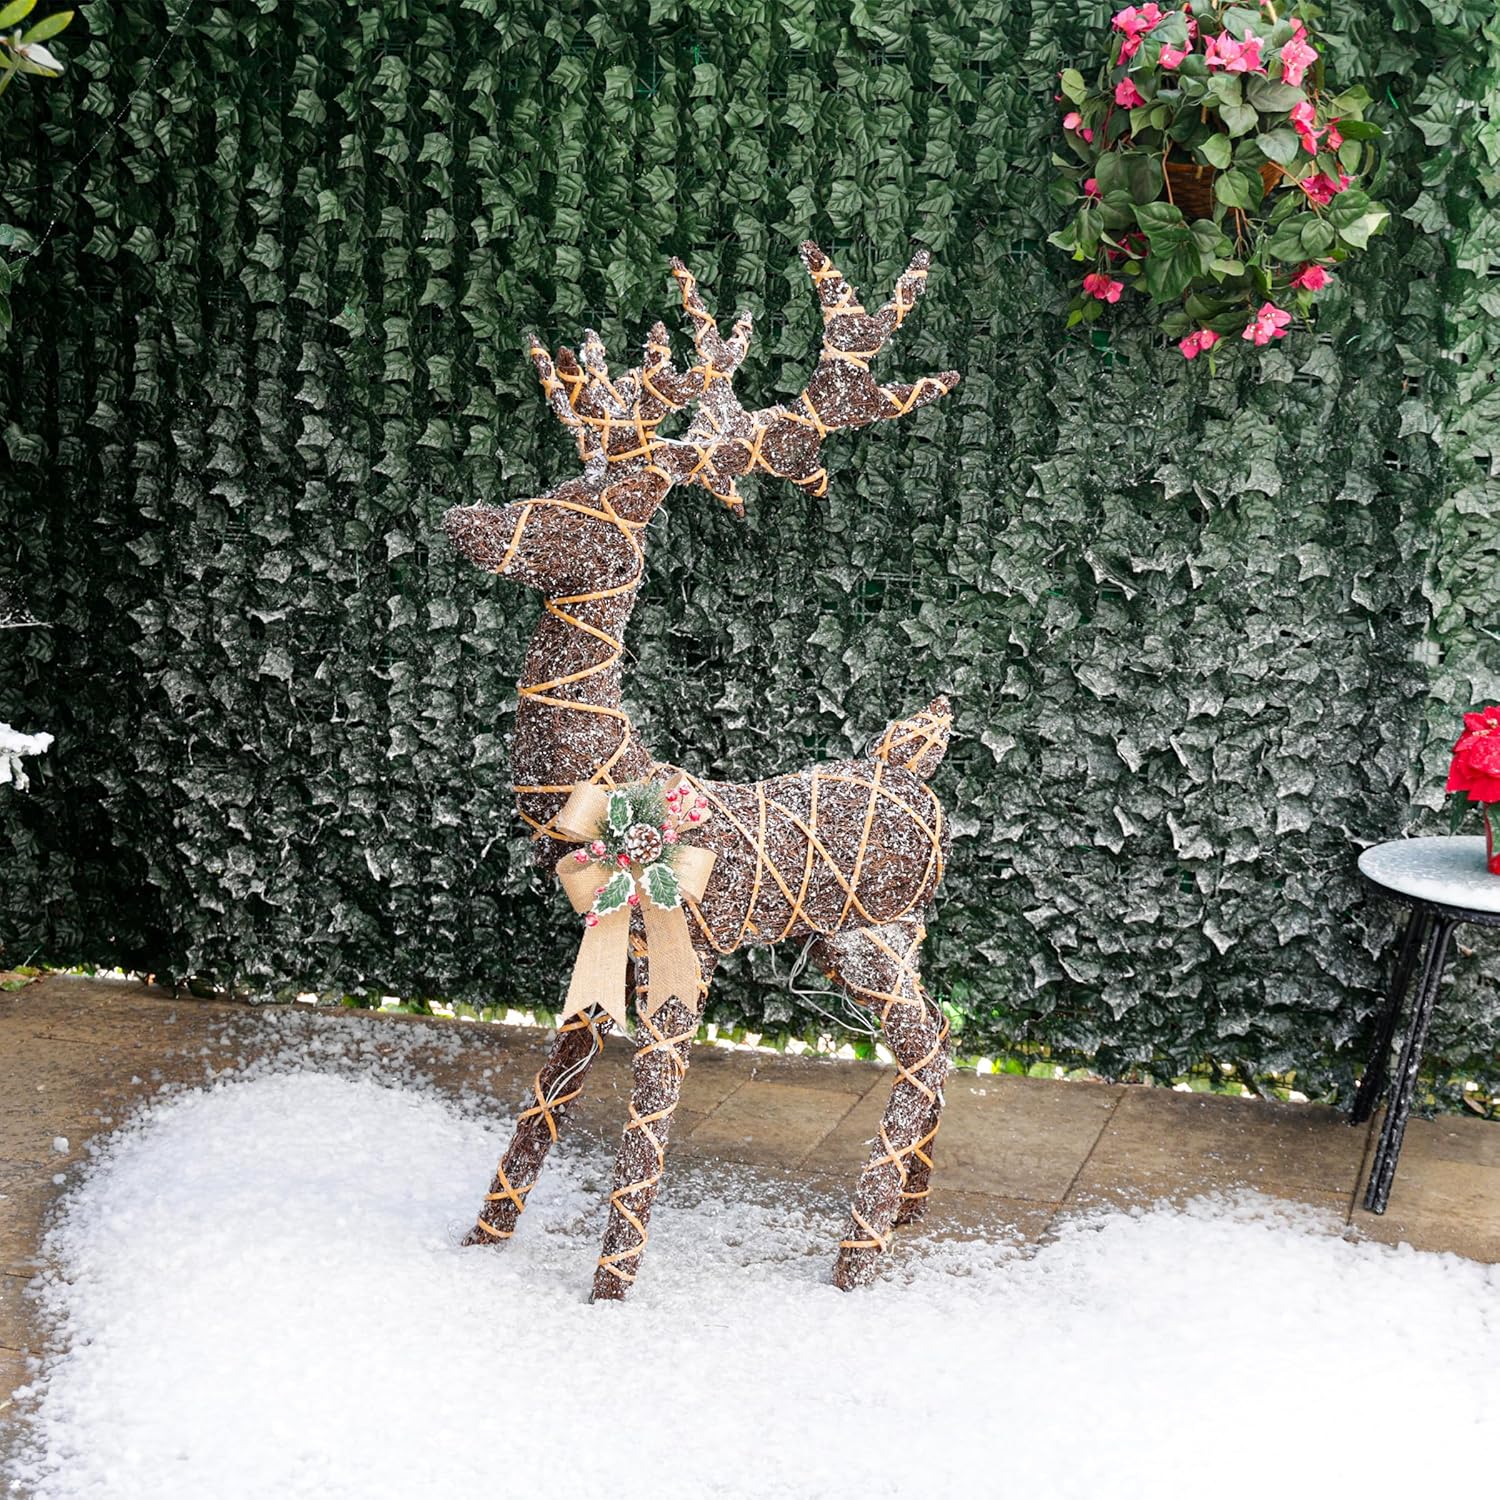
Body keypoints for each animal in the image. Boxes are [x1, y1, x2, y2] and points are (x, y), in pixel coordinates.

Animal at [442, 243, 960, 1298]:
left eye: (566, 512)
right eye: (551, 487)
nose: (456, 520)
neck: (610, 777)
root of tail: (914, 768)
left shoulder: (688, 962)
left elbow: (644, 1135)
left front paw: (609, 1292)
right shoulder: (604, 951)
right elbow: (538, 1109)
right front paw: (481, 1243)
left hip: (865, 940)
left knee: (927, 1057)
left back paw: (855, 1263)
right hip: (894, 937)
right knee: (943, 1045)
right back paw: (909, 1217)